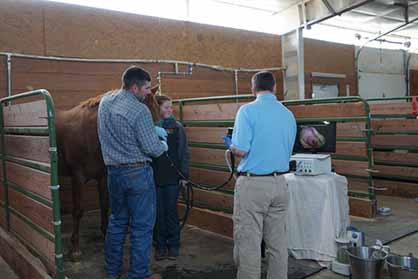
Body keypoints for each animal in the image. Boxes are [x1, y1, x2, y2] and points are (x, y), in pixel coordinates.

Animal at [55, 86, 160, 262]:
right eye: (147, 111)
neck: (88, 133)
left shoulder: (103, 177)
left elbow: (105, 205)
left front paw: (106, 238)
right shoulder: (77, 178)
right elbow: (78, 211)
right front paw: (75, 249)